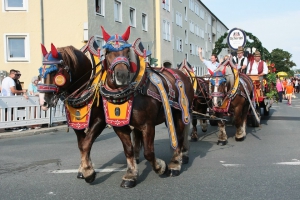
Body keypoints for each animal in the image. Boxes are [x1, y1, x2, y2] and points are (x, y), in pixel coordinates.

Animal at [38, 44, 106, 183]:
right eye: (41, 71)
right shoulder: (77, 123)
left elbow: (86, 144)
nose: (43, 102)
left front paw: (88, 172)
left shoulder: (100, 121)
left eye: (54, 71)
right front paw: (83, 169)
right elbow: (82, 144)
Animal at [101, 26, 193, 188]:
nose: (121, 75)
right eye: (108, 52)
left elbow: (149, 152)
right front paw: (131, 175)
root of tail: (181, 74)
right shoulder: (120, 127)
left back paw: (175, 163)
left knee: (180, 136)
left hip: (180, 114)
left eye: (127, 52)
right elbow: (129, 151)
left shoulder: (147, 125)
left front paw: (161, 167)